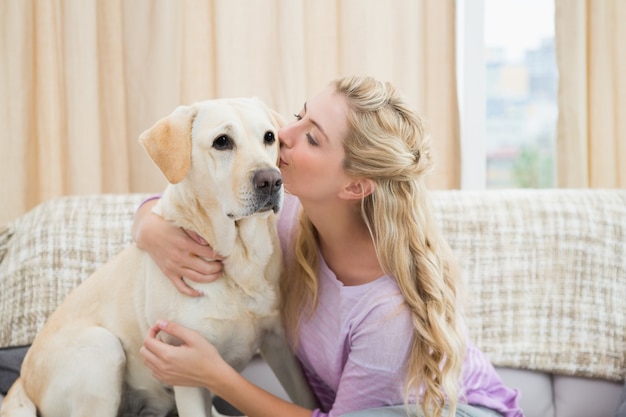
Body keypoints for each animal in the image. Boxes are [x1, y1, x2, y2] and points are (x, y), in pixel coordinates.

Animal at [0, 96, 312, 416]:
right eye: (222, 142)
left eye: (269, 137)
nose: (272, 180)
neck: (238, 259)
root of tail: (22, 381)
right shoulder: (185, 365)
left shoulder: (279, 343)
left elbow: (305, 398)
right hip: (103, 349)